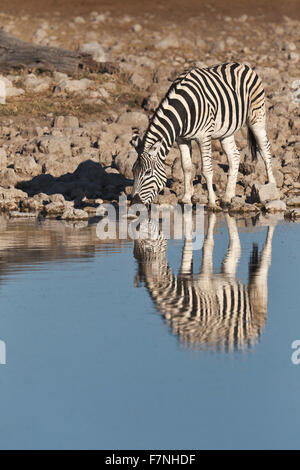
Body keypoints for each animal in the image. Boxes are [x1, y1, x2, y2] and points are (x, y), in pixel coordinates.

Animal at [130, 61, 276, 208]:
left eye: (148, 173)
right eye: (133, 171)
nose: (134, 202)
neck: (184, 110)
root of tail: (241, 64)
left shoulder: (204, 137)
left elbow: (206, 170)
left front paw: (211, 201)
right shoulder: (181, 139)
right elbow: (186, 167)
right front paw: (186, 198)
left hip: (257, 117)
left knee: (265, 148)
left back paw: (271, 185)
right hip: (227, 131)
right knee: (234, 156)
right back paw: (228, 196)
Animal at [135, 215, 276, 350]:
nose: (142, 219)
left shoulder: (205, 283)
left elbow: (207, 245)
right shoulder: (184, 276)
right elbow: (187, 247)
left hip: (258, 292)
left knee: (266, 256)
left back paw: (271, 224)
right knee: (235, 249)